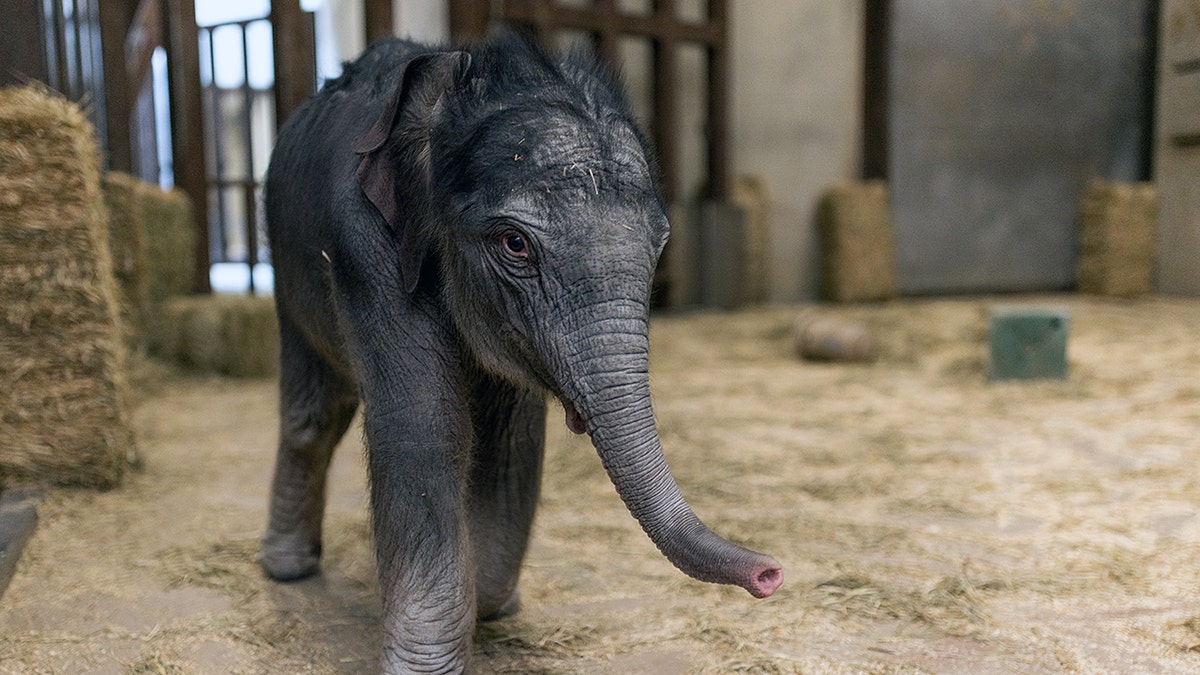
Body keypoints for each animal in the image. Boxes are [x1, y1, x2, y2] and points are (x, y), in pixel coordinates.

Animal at [260, 32, 782, 673]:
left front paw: (488, 606)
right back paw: (287, 570)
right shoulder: (364, 244)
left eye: (660, 246)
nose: (770, 574)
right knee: (314, 413)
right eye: (514, 244)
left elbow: (510, 437)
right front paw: (424, 664)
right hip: (286, 269)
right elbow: (426, 428)